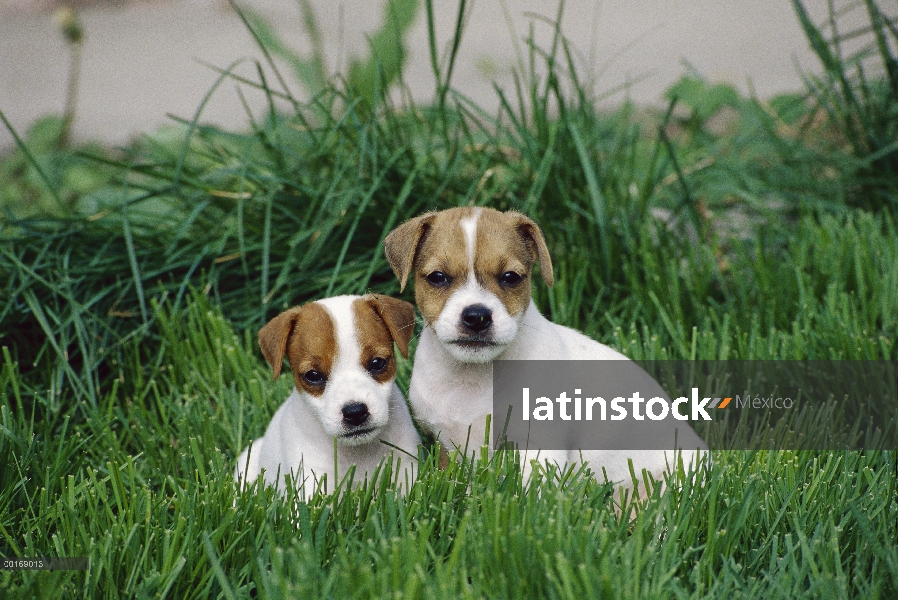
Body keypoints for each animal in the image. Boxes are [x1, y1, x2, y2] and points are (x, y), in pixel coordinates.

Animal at [236, 296, 422, 496]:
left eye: (377, 363)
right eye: (313, 375)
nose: (355, 412)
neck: (358, 453)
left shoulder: (406, 468)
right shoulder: (312, 482)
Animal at [382, 206, 704, 488]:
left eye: (510, 277)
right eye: (438, 277)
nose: (477, 316)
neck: (473, 378)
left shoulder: (538, 449)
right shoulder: (447, 448)